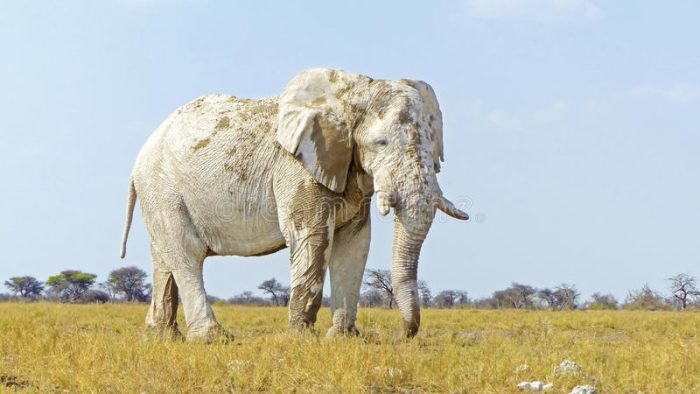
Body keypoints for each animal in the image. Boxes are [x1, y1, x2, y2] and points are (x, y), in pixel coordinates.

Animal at [120, 67, 468, 342]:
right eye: (380, 144)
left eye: (433, 145)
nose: (401, 336)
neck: (354, 92)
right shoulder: (296, 166)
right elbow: (311, 236)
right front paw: (303, 337)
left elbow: (354, 243)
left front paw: (343, 339)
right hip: (163, 189)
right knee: (186, 253)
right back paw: (211, 338)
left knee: (164, 258)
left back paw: (161, 337)